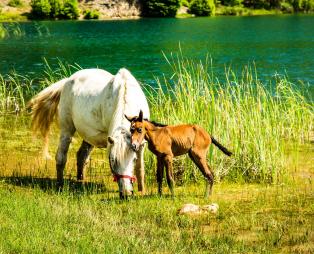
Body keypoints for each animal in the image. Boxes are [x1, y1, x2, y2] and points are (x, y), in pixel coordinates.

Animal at [28, 68, 150, 196]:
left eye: (133, 159)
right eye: (112, 160)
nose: (126, 194)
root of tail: (68, 80)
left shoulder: (141, 145)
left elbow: (140, 168)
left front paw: (142, 191)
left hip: (89, 137)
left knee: (82, 156)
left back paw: (81, 180)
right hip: (67, 130)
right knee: (61, 157)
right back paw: (60, 185)